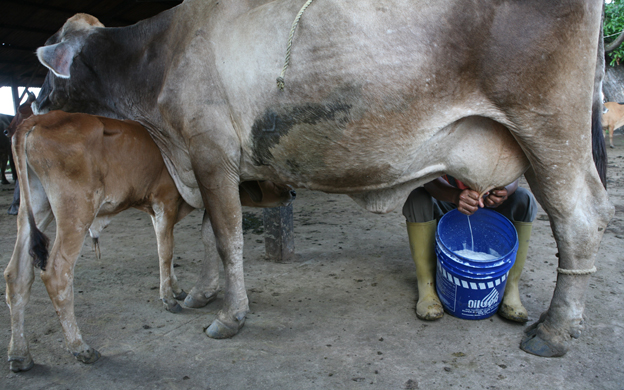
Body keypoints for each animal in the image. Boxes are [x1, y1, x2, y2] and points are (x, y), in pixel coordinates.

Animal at [4, 109, 294, 372]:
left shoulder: (158, 212)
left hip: (37, 209)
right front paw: (169, 299)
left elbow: (166, 250)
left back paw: (20, 355)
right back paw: (80, 347)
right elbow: (166, 252)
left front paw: (176, 289)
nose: (292, 191)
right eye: (267, 173)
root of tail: (38, 118)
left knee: (16, 274)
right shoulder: (164, 201)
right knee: (56, 273)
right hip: (75, 210)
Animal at [26, 0, 612, 360]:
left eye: (50, 59)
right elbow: (211, 236)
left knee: (581, 218)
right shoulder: (209, 163)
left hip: (550, 129)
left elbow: (228, 237)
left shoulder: (210, 153)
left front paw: (230, 316)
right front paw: (202, 294)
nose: (33, 104)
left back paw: (555, 331)